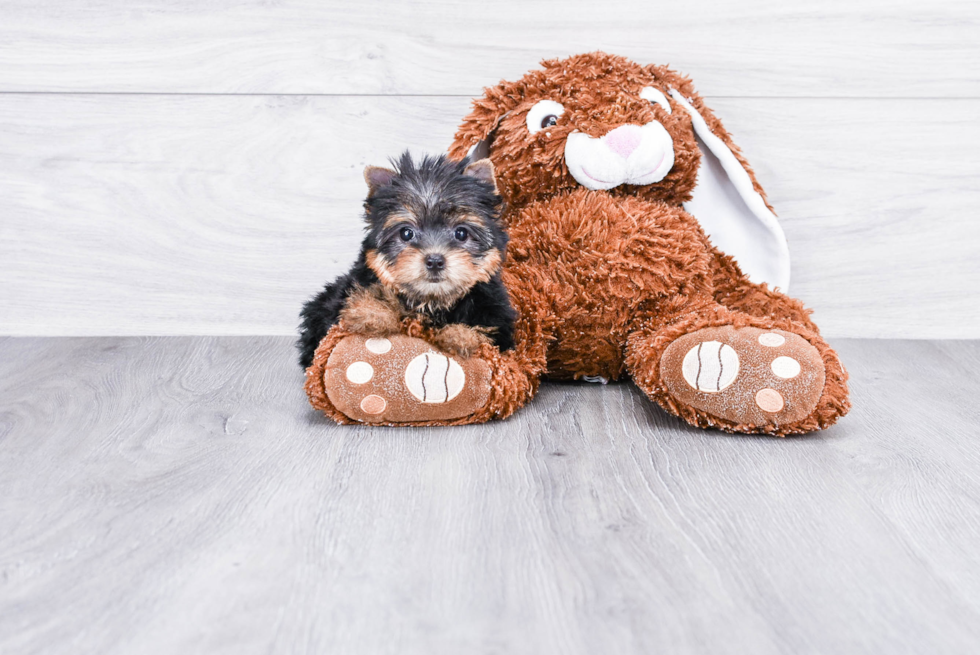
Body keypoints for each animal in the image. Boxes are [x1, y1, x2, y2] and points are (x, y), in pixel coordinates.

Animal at [296, 151, 512, 372]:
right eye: (406, 233)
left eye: (461, 233)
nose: (435, 261)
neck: (431, 301)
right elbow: (366, 295)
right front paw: (372, 315)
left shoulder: (496, 313)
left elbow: (484, 331)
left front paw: (460, 337)